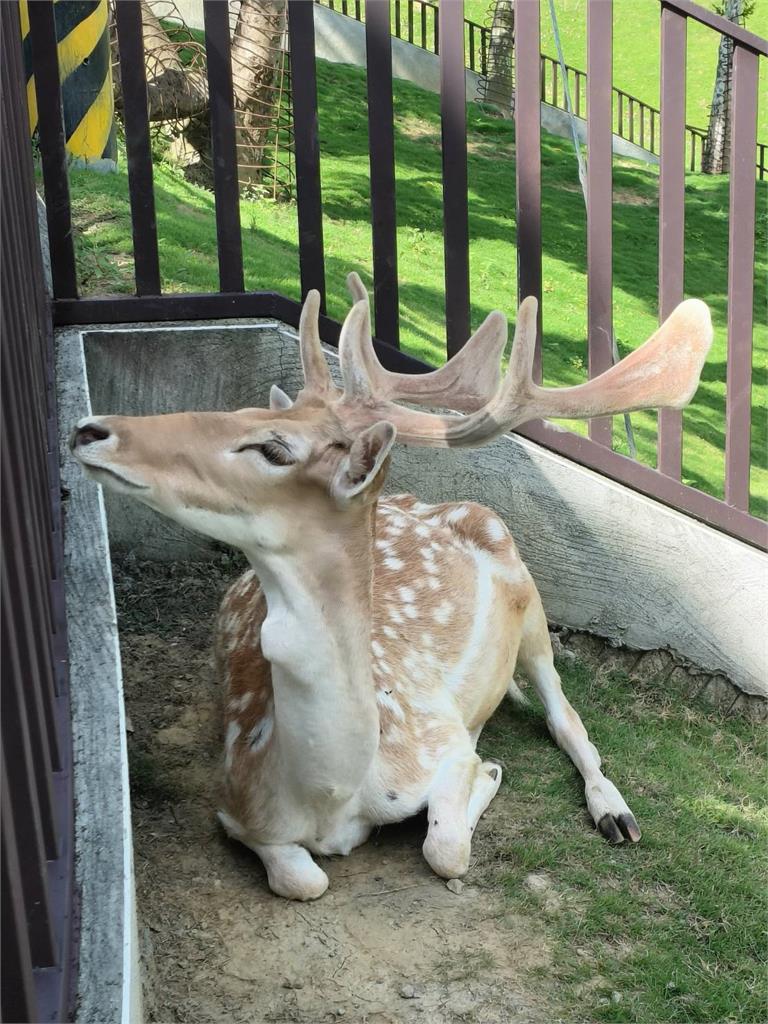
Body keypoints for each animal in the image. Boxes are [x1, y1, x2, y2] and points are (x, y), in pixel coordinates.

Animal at [72, 276, 716, 901]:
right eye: (239, 409)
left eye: (274, 448)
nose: (90, 429)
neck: (330, 793)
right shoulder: (236, 805)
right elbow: (304, 880)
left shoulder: (440, 741)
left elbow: (445, 847)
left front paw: (490, 772)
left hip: (531, 607)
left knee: (566, 718)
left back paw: (616, 813)